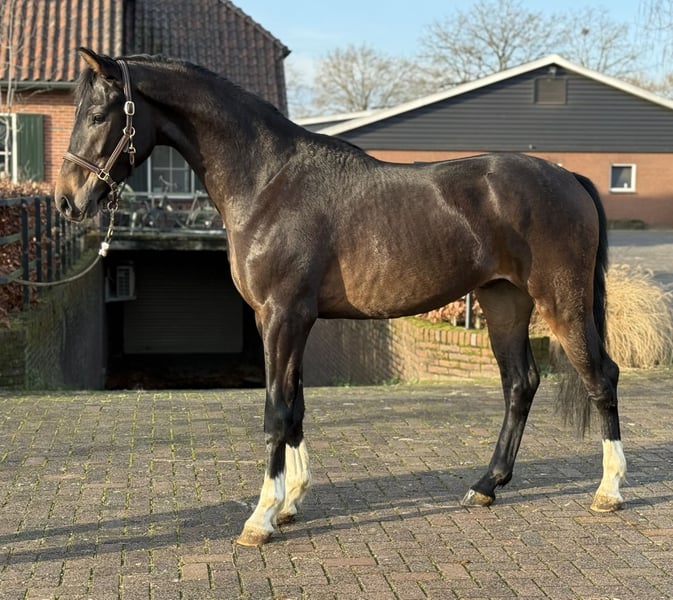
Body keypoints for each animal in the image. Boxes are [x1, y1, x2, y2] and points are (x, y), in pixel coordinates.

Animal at [55, 48, 626, 546]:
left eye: (100, 114)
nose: (67, 201)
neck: (268, 182)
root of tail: (567, 175)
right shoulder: (280, 319)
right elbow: (296, 406)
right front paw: (290, 502)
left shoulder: (283, 316)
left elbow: (276, 411)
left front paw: (260, 517)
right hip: (504, 302)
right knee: (520, 384)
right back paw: (486, 486)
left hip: (561, 302)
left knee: (600, 376)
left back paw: (608, 491)